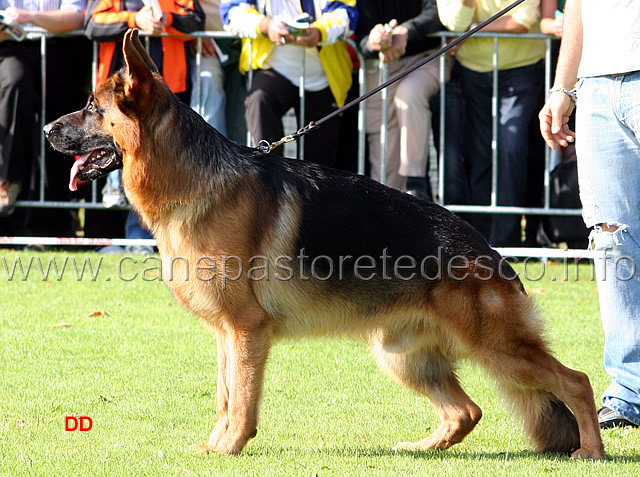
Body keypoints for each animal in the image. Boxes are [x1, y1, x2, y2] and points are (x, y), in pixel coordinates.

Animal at [43, 29, 604, 458]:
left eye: (91, 107)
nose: (46, 128)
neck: (194, 181)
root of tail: (490, 253)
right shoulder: (226, 333)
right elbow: (225, 396)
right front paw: (217, 445)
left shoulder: (246, 329)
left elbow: (241, 400)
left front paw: (230, 449)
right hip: (400, 354)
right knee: (467, 411)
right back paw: (421, 449)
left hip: (495, 347)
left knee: (575, 380)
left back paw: (590, 451)